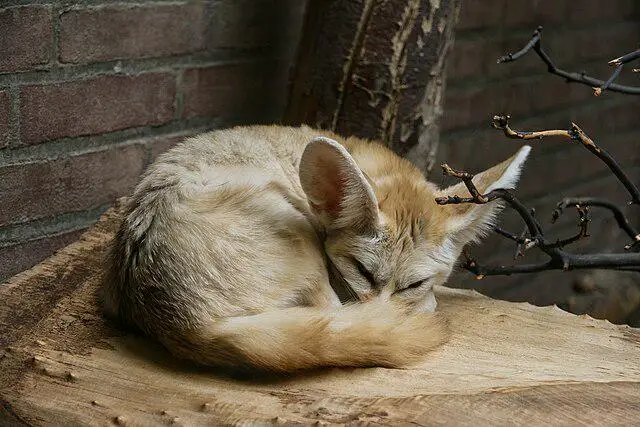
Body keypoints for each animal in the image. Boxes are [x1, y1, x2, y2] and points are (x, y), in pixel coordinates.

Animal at [101, 125, 530, 373]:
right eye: (363, 271)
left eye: (412, 283)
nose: (390, 311)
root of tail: (183, 323)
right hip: (297, 235)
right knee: (332, 313)